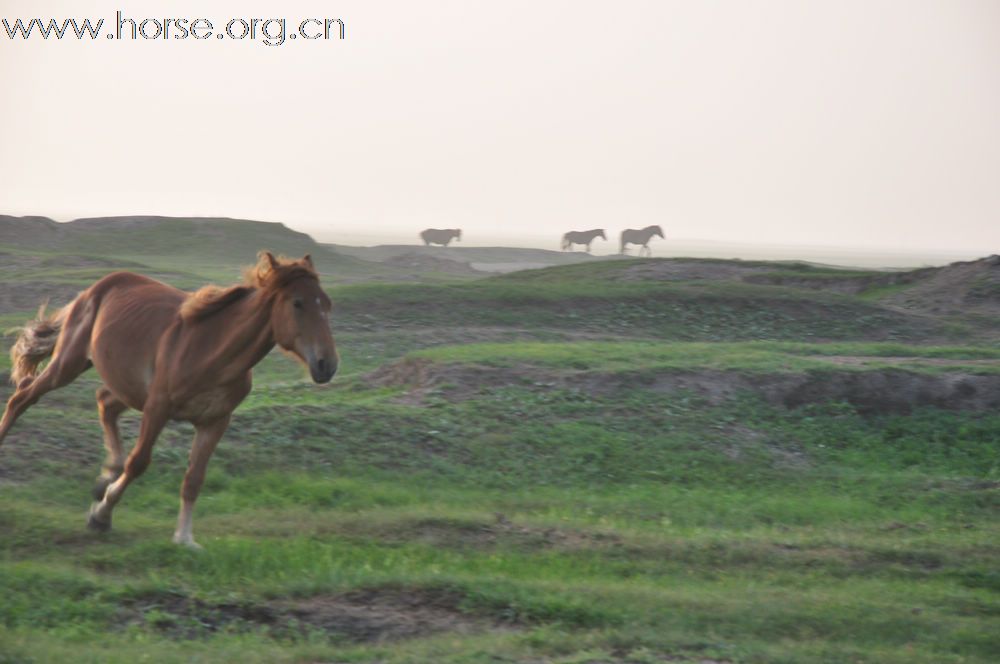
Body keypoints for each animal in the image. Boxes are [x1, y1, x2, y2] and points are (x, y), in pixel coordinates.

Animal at [0, 252, 340, 548]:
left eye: (327, 304)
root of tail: (96, 287)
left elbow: (194, 479)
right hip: (69, 363)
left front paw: (184, 538)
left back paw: (106, 475)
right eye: (297, 303)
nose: (327, 365)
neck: (213, 352)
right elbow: (139, 463)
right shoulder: (158, 408)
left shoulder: (214, 422)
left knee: (103, 402)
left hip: (125, 384)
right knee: (23, 397)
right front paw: (101, 516)